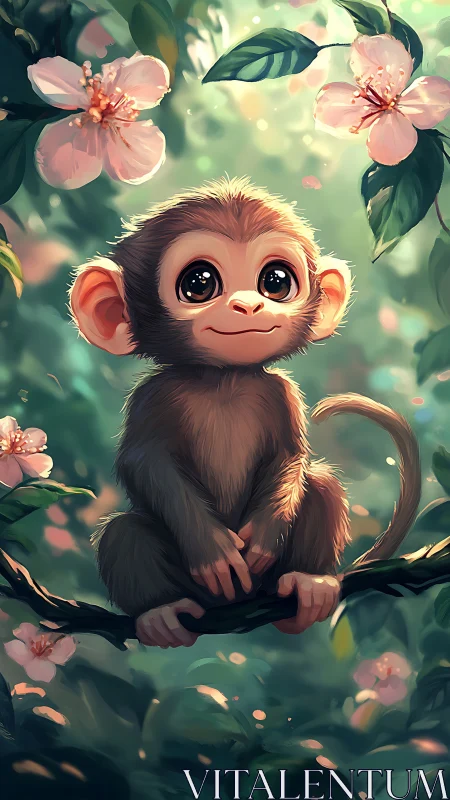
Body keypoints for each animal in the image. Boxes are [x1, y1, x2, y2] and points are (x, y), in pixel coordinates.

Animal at [69, 177, 421, 650]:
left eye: (276, 281)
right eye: (199, 283)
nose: (248, 306)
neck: (225, 381)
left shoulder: (281, 392)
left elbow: (291, 456)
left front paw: (267, 535)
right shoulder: (150, 396)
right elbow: (144, 461)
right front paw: (212, 550)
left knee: (322, 485)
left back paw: (310, 584)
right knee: (123, 531)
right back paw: (160, 613)